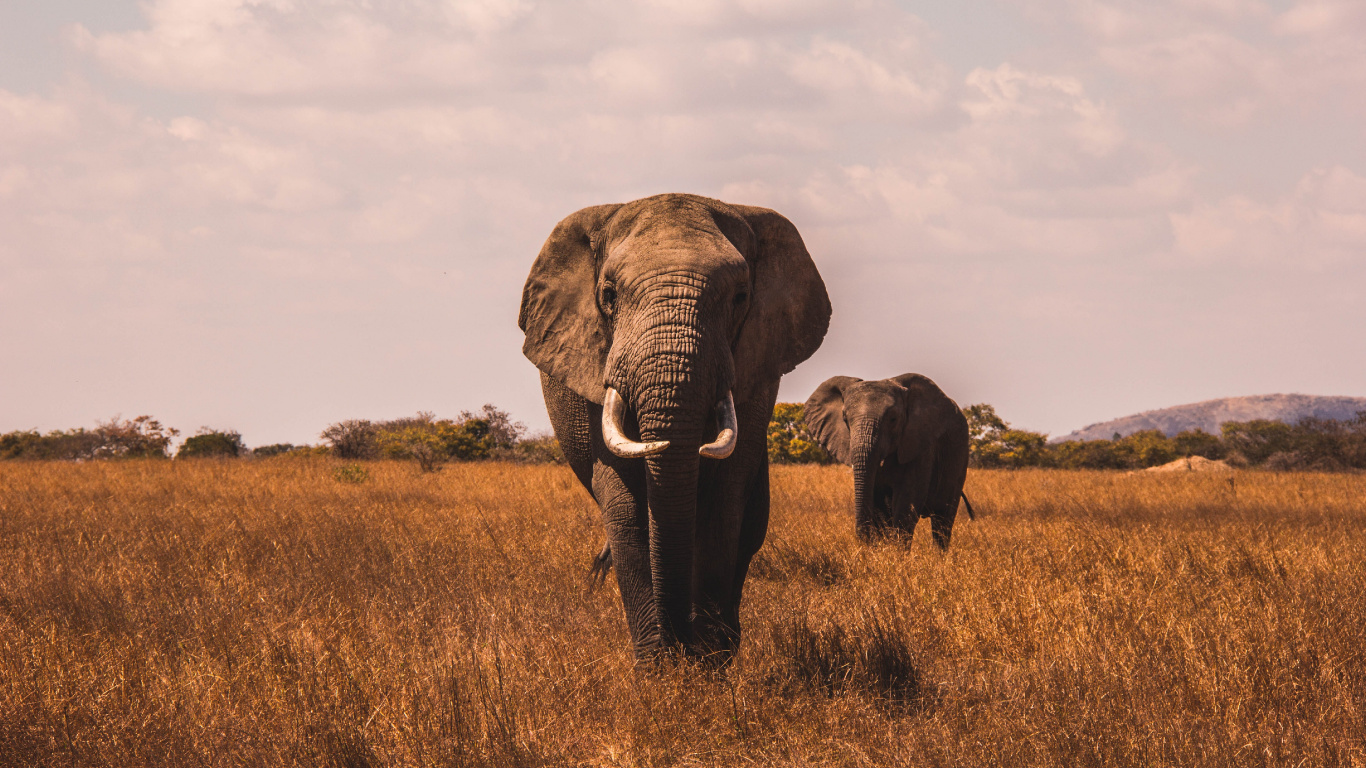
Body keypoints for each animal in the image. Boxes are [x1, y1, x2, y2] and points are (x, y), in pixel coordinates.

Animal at [518, 193, 830, 662]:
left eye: (741, 297)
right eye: (608, 295)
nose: (680, 641)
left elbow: (724, 503)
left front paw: (708, 663)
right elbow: (627, 507)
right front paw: (659, 667)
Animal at [803, 373, 974, 547]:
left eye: (893, 419)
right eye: (845, 419)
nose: (864, 542)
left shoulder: (920, 446)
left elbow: (906, 504)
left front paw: (896, 553)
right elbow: (879, 508)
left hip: (959, 458)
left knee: (943, 521)